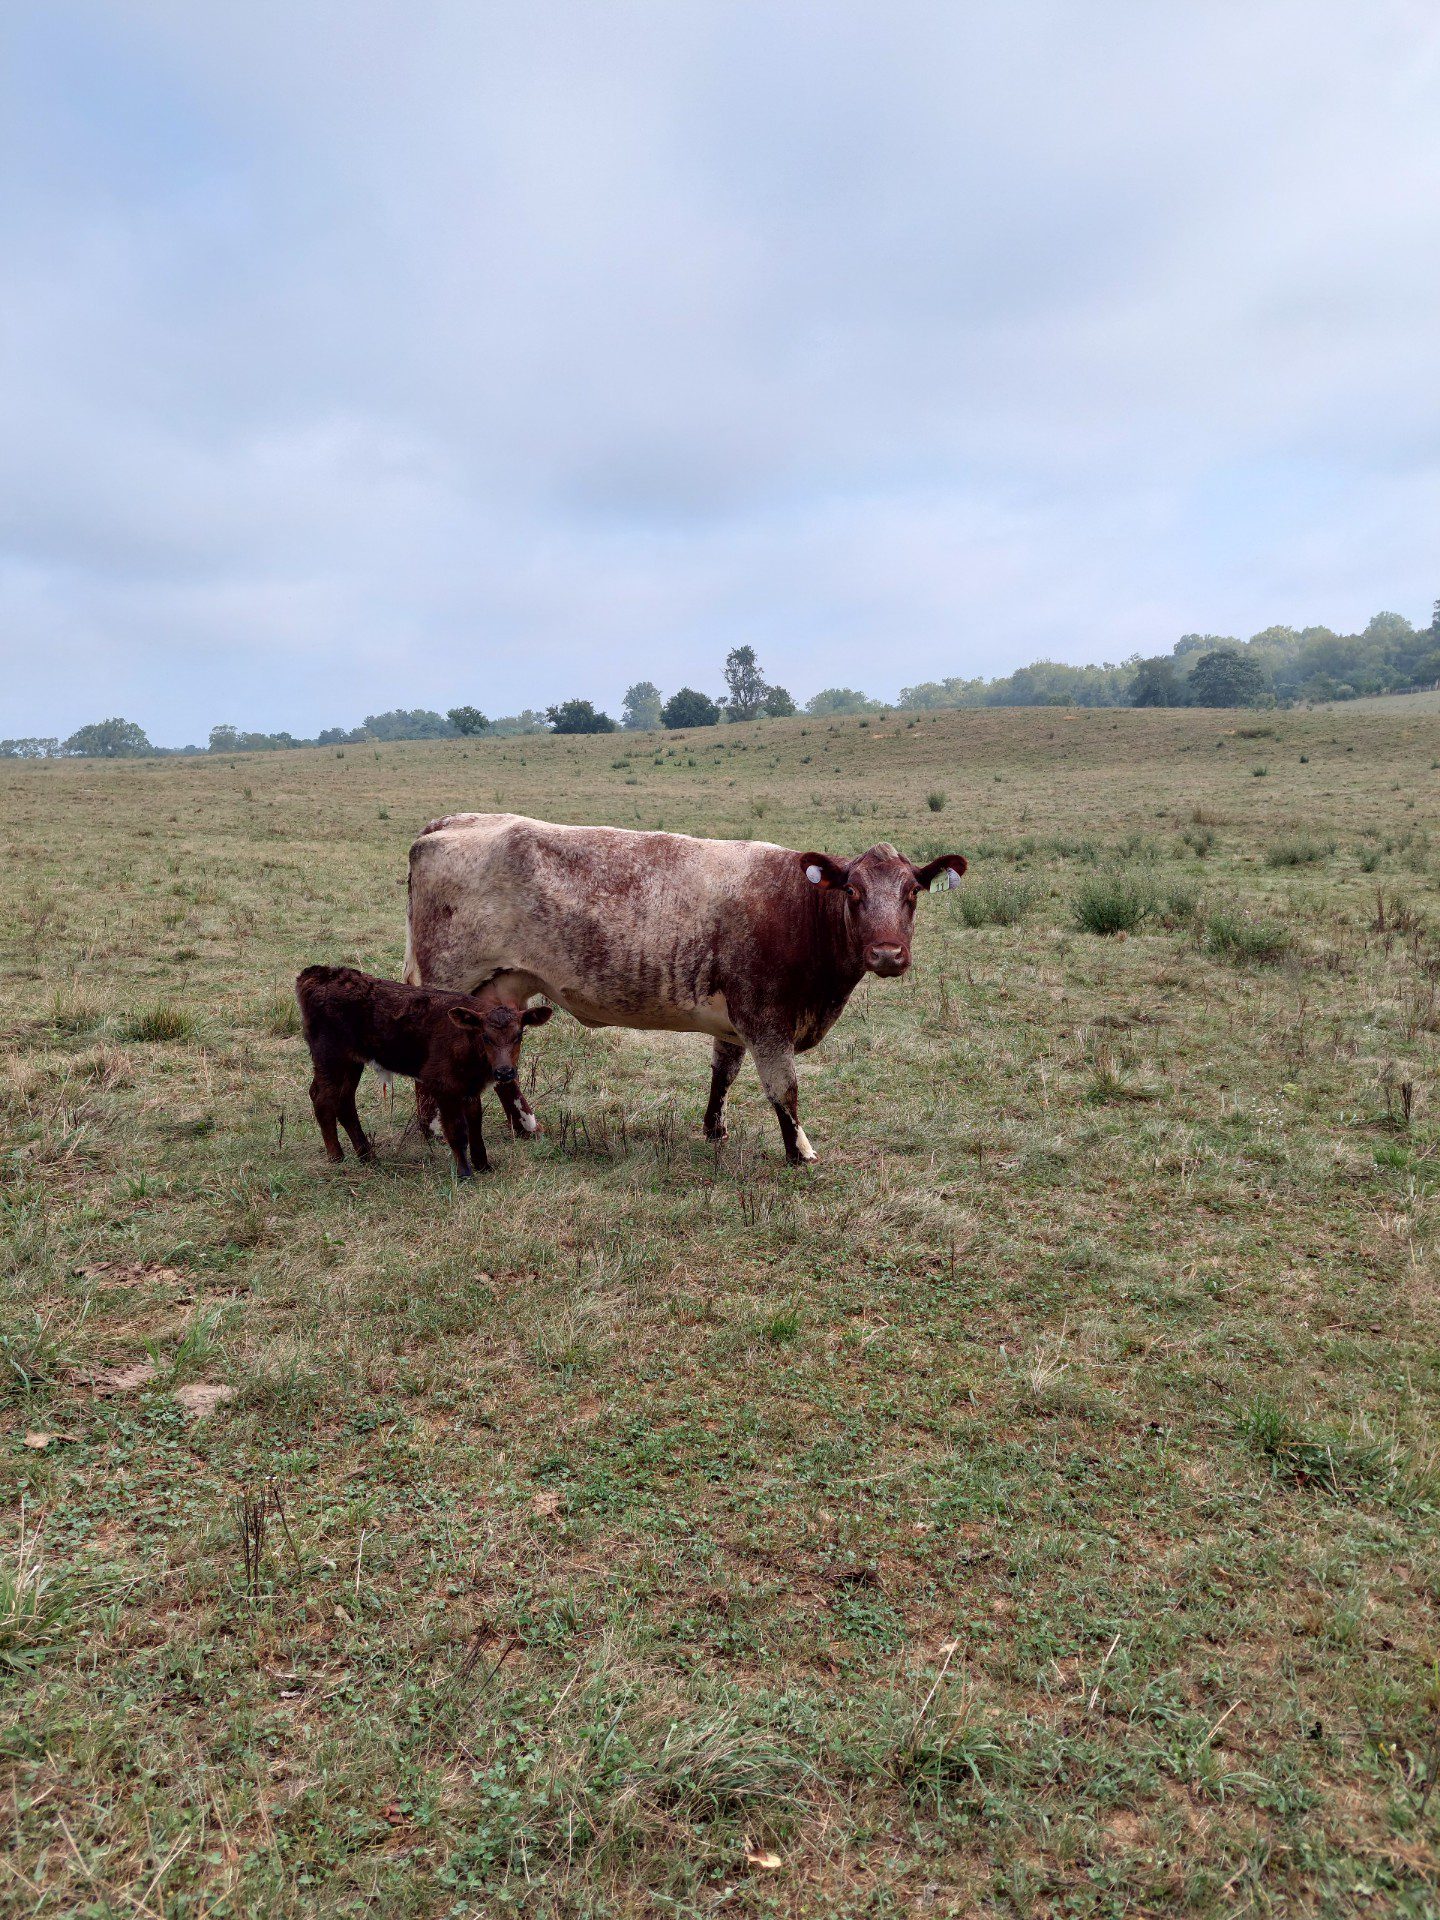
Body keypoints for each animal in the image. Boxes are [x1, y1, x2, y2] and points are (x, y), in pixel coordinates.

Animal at [295, 964, 552, 1179]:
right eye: (485, 1037)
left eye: (519, 1035)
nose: (504, 1073)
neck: (466, 1043)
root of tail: (316, 974)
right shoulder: (442, 1084)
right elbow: (457, 1129)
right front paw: (465, 1172)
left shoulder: (470, 1088)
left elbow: (475, 1125)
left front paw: (483, 1165)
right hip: (330, 1057)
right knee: (322, 1097)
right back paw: (336, 1156)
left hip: (350, 1062)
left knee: (344, 1101)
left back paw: (367, 1156)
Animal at [402, 814, 965, 1164]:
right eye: (852, 891)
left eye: (913, 892)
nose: (887, 954)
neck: (797, 907)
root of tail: (450, 823)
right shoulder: (766, 1017)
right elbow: (784, 1088)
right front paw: (799, 1152)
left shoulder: (736, 1021)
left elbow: (724, 1073)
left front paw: (714, 1128)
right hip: (450, 980)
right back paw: (433, 1131)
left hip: (503, 991)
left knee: (502, 1064)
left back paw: (527, 1125)